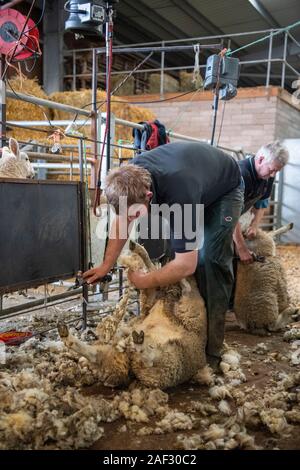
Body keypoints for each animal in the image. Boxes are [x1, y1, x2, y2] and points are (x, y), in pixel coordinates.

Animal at [57, 239, 207, 390]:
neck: (169, 294)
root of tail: (132, 370)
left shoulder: (189, 303)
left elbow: (179, 282)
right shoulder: (156, 294)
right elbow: (153, 269)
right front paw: (138, 249)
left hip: (168, 361)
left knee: (147, 359)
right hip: (143, 361)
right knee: (97, 355)